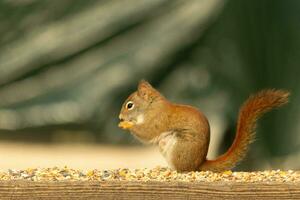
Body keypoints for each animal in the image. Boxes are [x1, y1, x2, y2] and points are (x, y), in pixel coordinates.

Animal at [118, 80, 290, 172]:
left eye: (130, 105)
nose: (119, 117)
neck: (152, 107)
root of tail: (200, 162)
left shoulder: (158, 121)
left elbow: (145, 133)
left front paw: (126, 125)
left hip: (178, 148)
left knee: (184, 169)